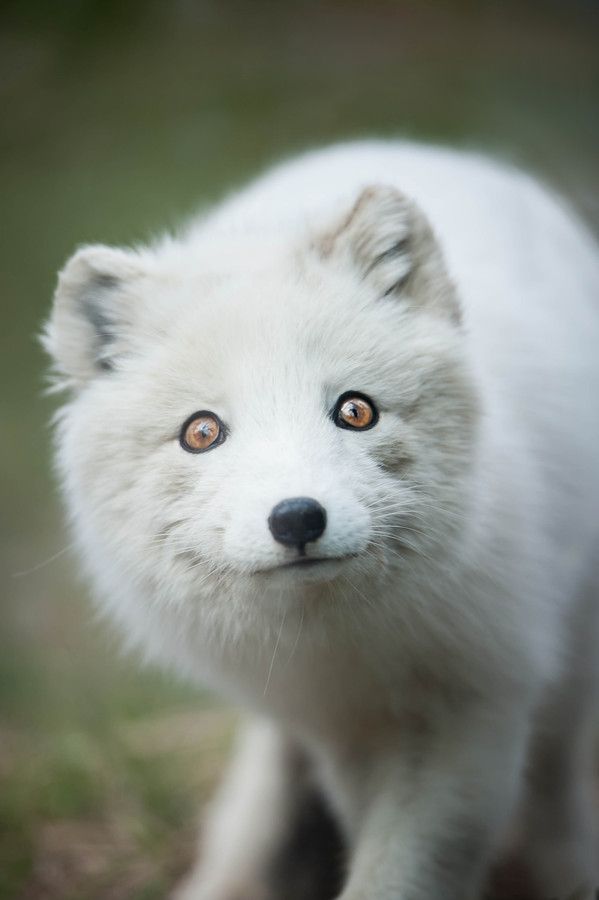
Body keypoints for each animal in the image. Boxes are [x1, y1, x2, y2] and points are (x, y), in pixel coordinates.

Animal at [44, 141, 599, 900]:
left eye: (356, 410)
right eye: (201, 432)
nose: (298, 518)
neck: (336, 645)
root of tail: (402, 143)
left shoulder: (473, 705)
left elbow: (406, 866)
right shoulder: (346, 732)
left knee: (556, 774)